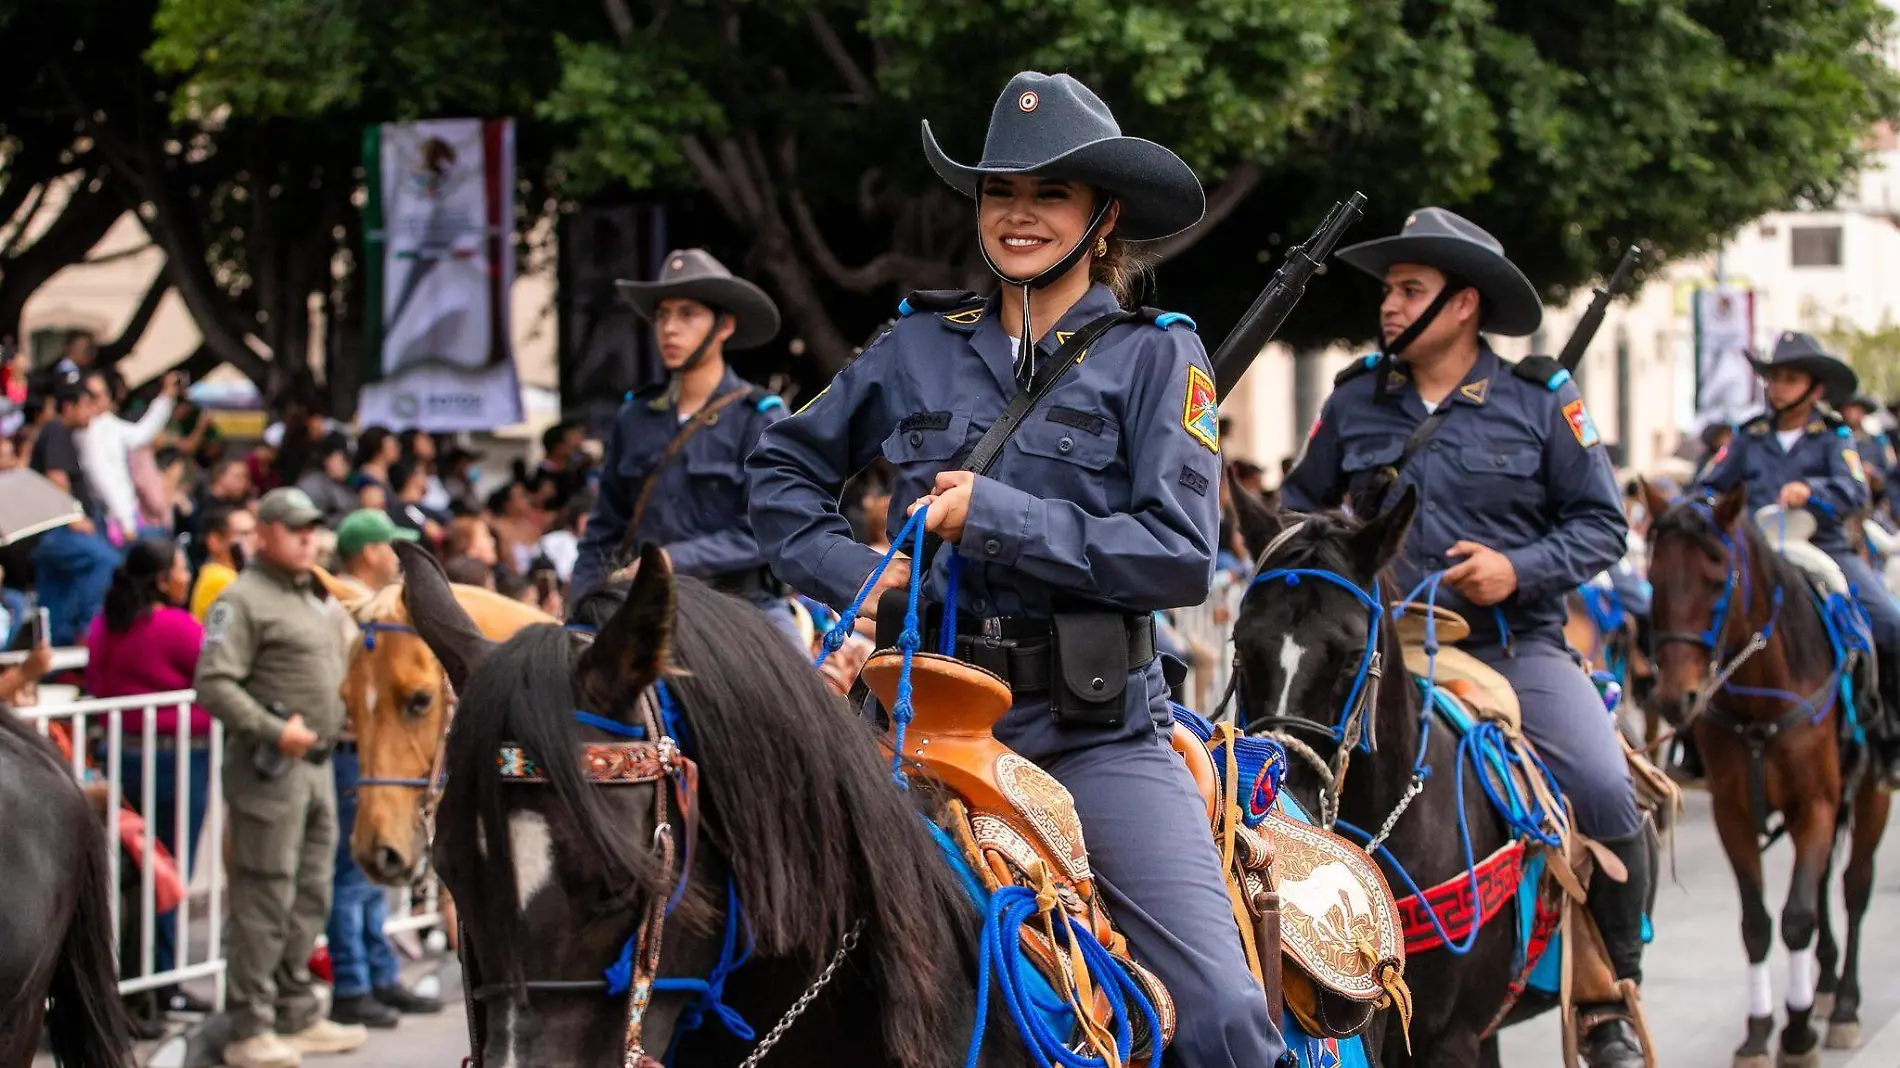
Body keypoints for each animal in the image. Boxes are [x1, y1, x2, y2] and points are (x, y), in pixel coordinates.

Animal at [1641, 484, 1892, 1064]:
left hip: (1870, 796)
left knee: (1853, 888)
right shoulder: (1732, 814)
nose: (1675, 698)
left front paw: (1796, 1034)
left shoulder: (1816, 804)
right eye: (1654, 578)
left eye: (1718, 580)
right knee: (1821, 885)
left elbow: (1797, 917)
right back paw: (1825, 987)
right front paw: (1758, 1033)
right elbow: (1756, 923)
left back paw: (1843, 1005)